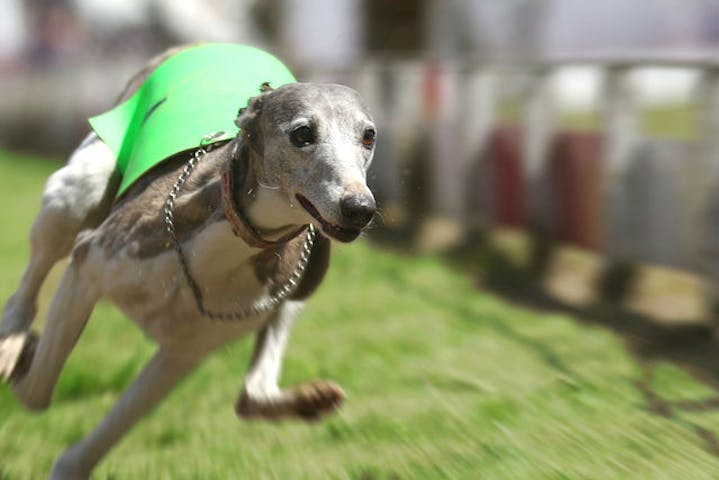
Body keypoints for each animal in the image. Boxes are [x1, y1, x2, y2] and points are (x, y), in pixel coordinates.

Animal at [0, 46, 380, 480]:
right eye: (302, 134)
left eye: (368, 135)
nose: (360, 209)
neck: (233, 237)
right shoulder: (89, 262)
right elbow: (34, 394)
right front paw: (22, 357)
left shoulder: (185, 350)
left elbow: (76, 445)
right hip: (77, 189)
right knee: (30, 283)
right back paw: (12, 338)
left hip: (307, 274)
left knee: (250, 395)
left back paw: (303, 401)